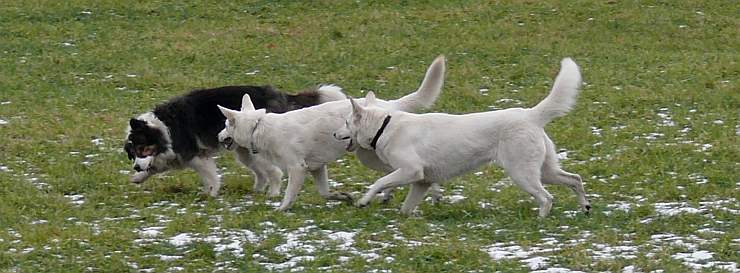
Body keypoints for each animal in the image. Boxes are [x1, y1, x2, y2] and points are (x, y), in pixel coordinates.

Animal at [125, 85, 346, 196]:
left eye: (143, 148)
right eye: (133, 152)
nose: (135, 167)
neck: (164, 128)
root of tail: (280, 95)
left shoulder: (196, 156)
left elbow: (210, 177)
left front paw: (211, 193)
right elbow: (154, 167)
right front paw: (138, 177)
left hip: (256, 150)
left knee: (274, 172)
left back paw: (272, 193)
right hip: (245, 151)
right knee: (262, 173)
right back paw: (257, 190)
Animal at [214, 55, 446, 210]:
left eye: (225, 124)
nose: (218, 137)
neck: (259, 127)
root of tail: (388, 105)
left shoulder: (297, 168)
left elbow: (289, 195)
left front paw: (280, 209)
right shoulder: (317, 168)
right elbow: (325, 193)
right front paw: (344, 197)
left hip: (372, 158)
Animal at [336, 58, 588, 217]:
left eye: (346, 122)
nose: (334, 133)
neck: (385, 126)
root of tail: (530, 115)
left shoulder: (410, 171)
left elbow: (379, 182)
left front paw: (363, 201)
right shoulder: (421, 181)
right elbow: (406, 208)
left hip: (522, 173)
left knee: (546, 198)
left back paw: (541, 220)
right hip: (544, 171)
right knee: (574, 179)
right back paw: (585, 207)